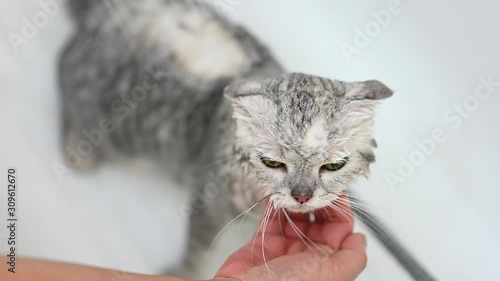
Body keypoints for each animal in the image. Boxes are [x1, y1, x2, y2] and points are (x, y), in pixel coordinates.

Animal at [59, 0, 394, 276]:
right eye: (272, 162)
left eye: (334, 166)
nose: (302, 196)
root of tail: (104, 10)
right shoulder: (208, 204)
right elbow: (196, 253)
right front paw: (180, 273)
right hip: (111, 123)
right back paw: (77, 153)